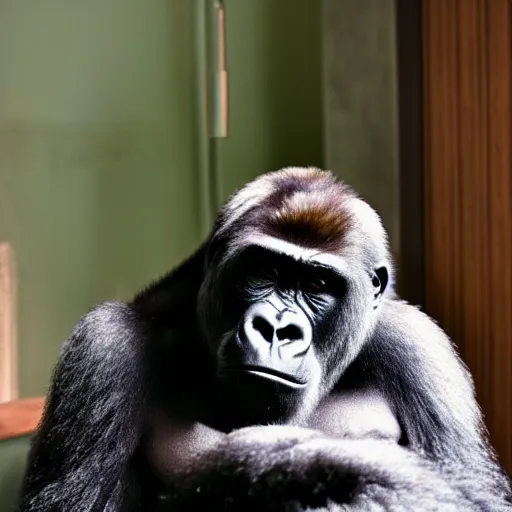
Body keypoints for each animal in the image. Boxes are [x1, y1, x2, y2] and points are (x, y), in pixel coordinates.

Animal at [18, 166, 510, 510]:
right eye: (263, 271)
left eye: (317, 285)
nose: (276, 329)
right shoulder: (105, 346)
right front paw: (279, 462)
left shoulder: (420, 348)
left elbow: (478, 496)